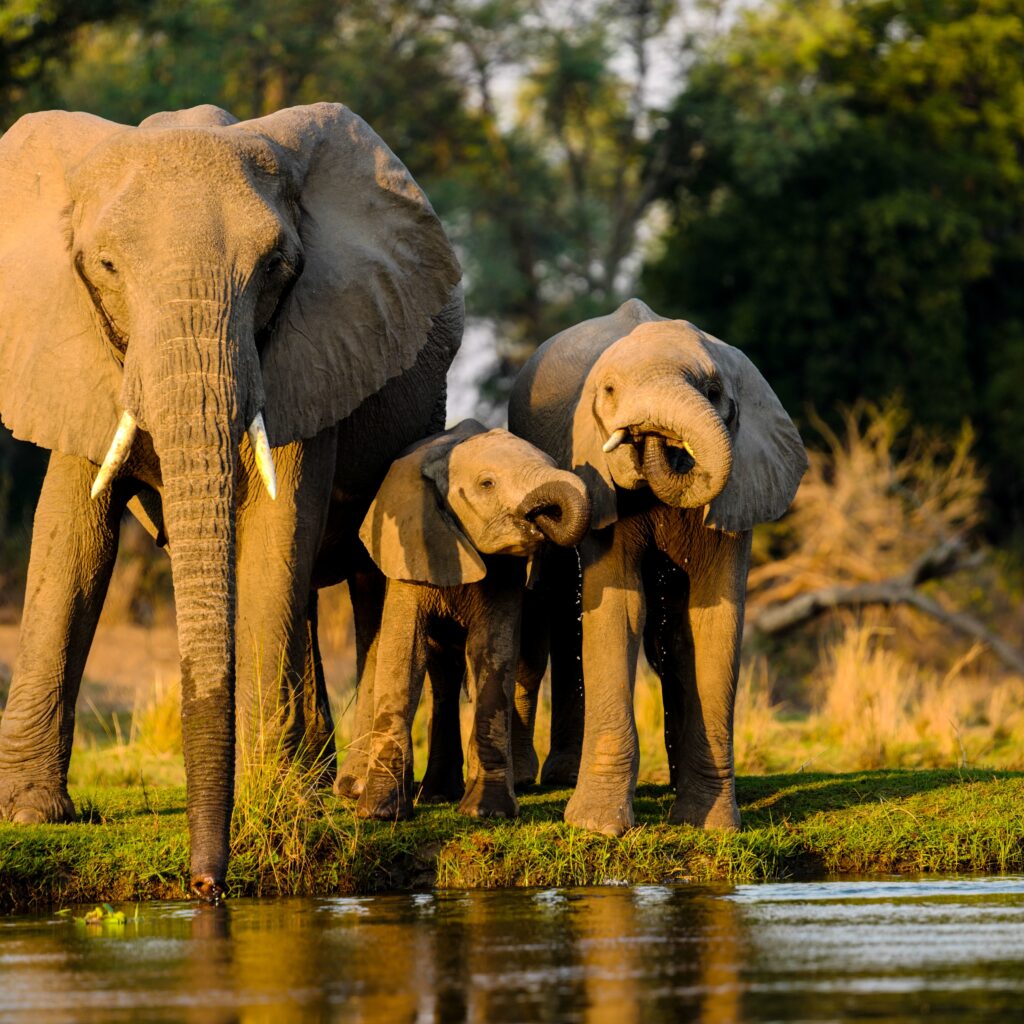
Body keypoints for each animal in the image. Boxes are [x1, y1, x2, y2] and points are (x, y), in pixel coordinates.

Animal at [0, 101, 460, 897]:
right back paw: (314, 780)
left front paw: (270, 802)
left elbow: (277, 527)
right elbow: (72, 542)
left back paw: (346, 797)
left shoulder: (311, 347)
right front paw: (29, 816)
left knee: (368, 576)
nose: (205, 886)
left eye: (276, 268)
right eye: (107, 267)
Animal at [356, 415, 589, 815]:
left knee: (523, 664)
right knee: (443, 674)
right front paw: (380, 813)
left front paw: (487, 812)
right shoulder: (410, 548)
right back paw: (436, 795)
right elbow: (403, 653)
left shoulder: (505, 570)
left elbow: (491, 653)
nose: (544, 517)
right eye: (487, 484)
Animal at [507, 294, 802, 831]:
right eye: (608, 391)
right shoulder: (598, 479)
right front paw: (596, 828)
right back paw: (538, 779)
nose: (650, 436)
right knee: (551, 607)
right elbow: (618, 608)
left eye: (712, 391)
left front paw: (709, 825)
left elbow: (713, 620)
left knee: (664, 641)